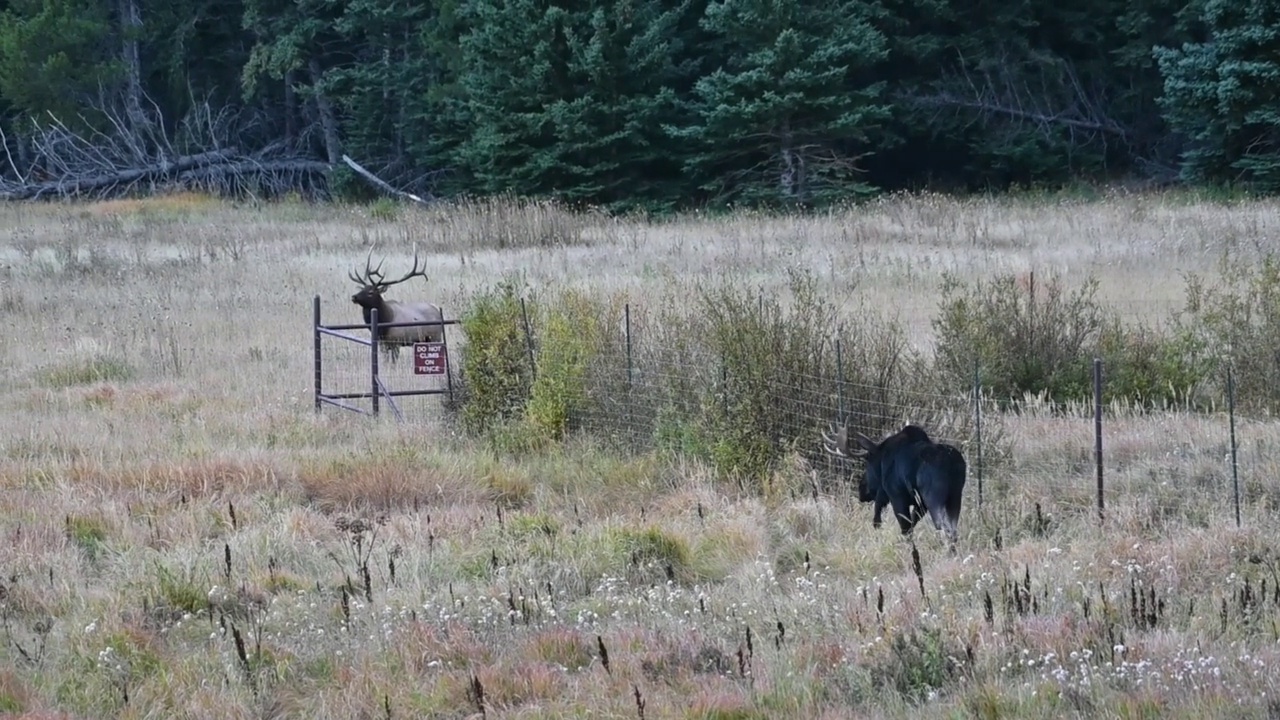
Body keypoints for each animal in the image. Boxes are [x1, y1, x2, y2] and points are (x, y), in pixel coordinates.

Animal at [824, 417, 962, 550]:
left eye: (867, 463)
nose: (861, 489)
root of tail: (951, 462)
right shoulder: (919, 504)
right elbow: (911, 525)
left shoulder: (896, 496)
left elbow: (903, 528)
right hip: (955, 498)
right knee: (953, 531)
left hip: (933, 498)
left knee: (944, 529)